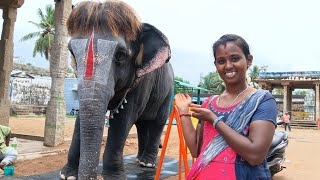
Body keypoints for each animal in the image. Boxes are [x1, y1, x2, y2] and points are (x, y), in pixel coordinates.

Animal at [60, 1, 175, 180]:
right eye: (71, 52)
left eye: (120, 55)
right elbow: (81, 118)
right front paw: (68, 175)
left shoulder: (142, 81)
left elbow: (123, 118)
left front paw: (114, 177)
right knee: (142, 125)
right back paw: (139, 160)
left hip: (167, 93)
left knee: (158, 121)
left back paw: (147, 163)